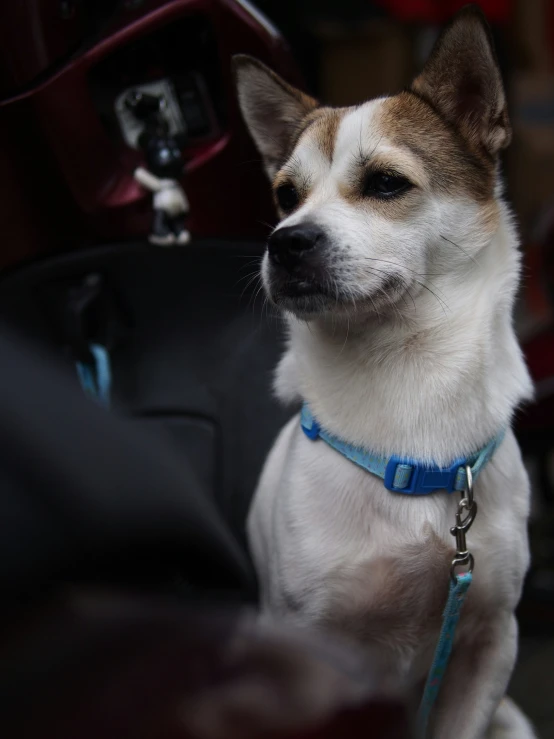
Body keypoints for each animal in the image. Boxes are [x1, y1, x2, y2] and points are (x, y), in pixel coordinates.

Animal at [234, 5, 536, 739]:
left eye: (386, 184)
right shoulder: (302, 655)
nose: (284, 241)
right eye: (285, 195)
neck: (405, 370)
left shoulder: (490, 639)